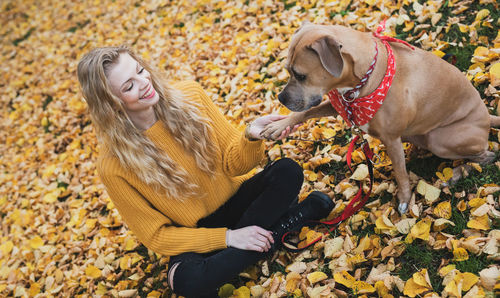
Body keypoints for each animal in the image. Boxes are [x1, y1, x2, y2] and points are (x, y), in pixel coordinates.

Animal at [262, 23, 500, 214]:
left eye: (301, 75)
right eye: (288, 71)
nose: (281, 98)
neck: (359, 81)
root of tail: (488, 116)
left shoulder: (391, 138)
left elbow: (401, 173)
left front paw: (404, 200)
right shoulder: (338, 105)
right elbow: (304, 112)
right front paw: (277, 126)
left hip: (441, 140)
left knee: (487, 155)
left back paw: (456, 174)